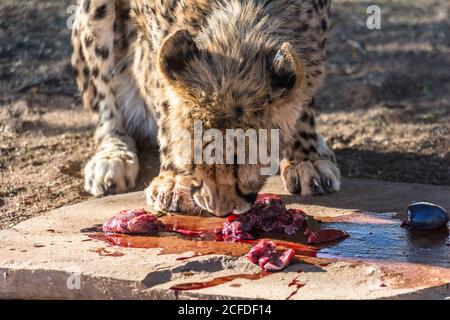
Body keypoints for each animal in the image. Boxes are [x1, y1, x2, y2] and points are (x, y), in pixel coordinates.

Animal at [70, 0, 340, 218]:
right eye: (193, 163)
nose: (220, 210)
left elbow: (306, 86)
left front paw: (306, 158)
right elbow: (165, 101)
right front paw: (173, 179)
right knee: (107, 104)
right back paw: (113, 156)